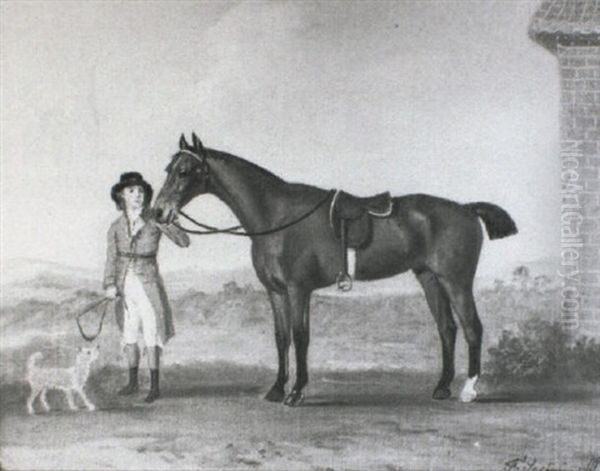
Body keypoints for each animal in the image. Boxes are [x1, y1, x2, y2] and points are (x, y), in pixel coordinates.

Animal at [154, 132, 516, 406]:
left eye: (185, 171)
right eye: (168, 168)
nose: (158, 212)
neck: (277, 216)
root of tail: (467, 209)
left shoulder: (298, 290)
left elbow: (300, 336)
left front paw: (296, 393)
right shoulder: (276, 292)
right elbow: (281, 337)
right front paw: (276, 389)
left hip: (456, 281)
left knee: (472, 328)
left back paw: (469, 390)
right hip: (429, 278)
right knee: (447, 328)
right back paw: (441, 388)